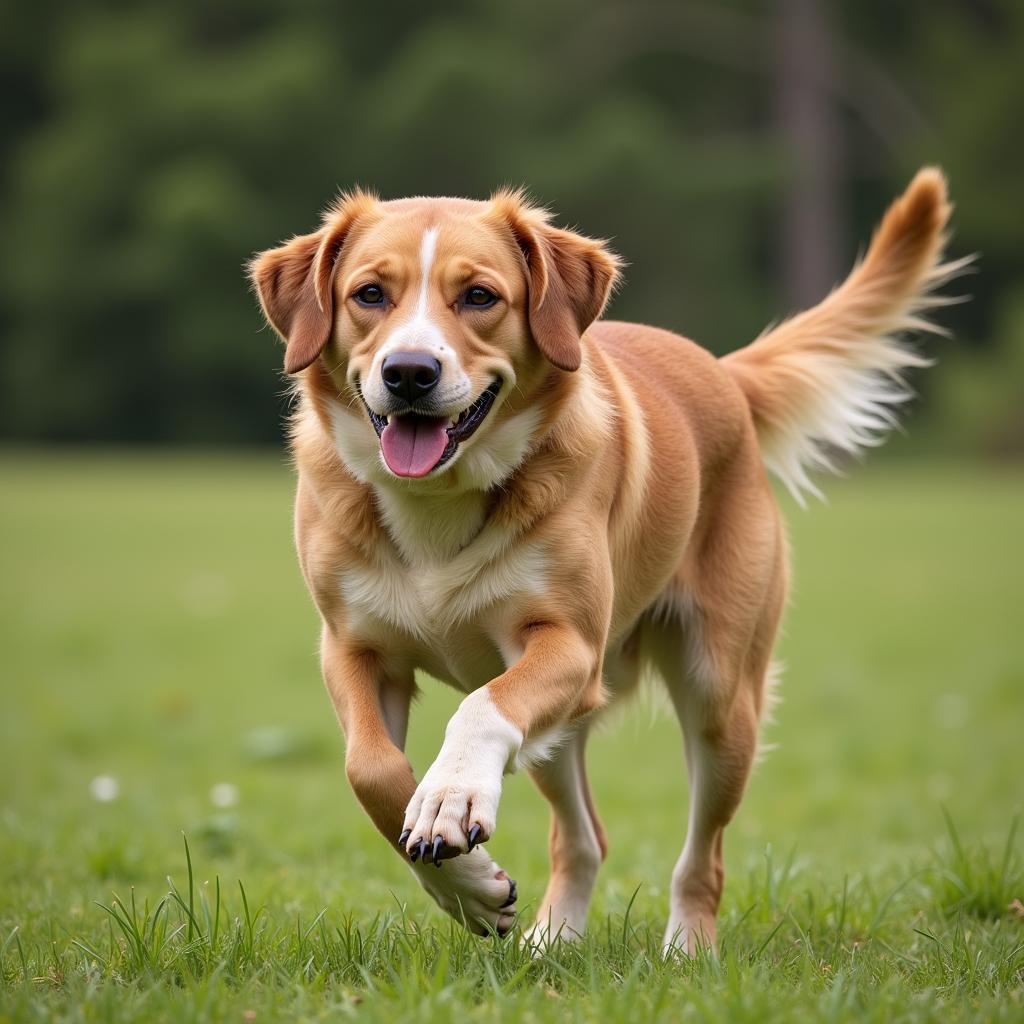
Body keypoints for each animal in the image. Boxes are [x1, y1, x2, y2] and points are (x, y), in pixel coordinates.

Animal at [249, 169, 966, 950]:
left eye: (480, 296)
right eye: (370, 294)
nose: (410, 372)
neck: (440, 499)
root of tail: (723, 373)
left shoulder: (569, 644)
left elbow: (478, 707)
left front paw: (449, 798)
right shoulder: (354, 648)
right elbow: (372, 771)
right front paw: (471, 889)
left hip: (719, 698)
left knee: (703, 852)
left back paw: (689, 947)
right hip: (561, 740)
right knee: (584, 836)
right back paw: (552, 940)